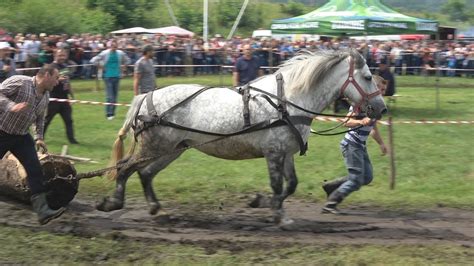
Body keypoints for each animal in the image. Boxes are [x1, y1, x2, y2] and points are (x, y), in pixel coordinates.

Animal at [96, 49, 386, 224]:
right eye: (367, 76)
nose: (381, 109)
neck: (288, 101)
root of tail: (146, 96)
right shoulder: (273, 152)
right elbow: (277, 186)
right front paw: (274, 212)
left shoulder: (287, 152)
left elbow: (291, 184)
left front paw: (266, 205)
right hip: (153, 146)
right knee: (125, 168)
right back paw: (112, 202)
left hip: (173, 148)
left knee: (145, 174)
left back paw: (157, 209)